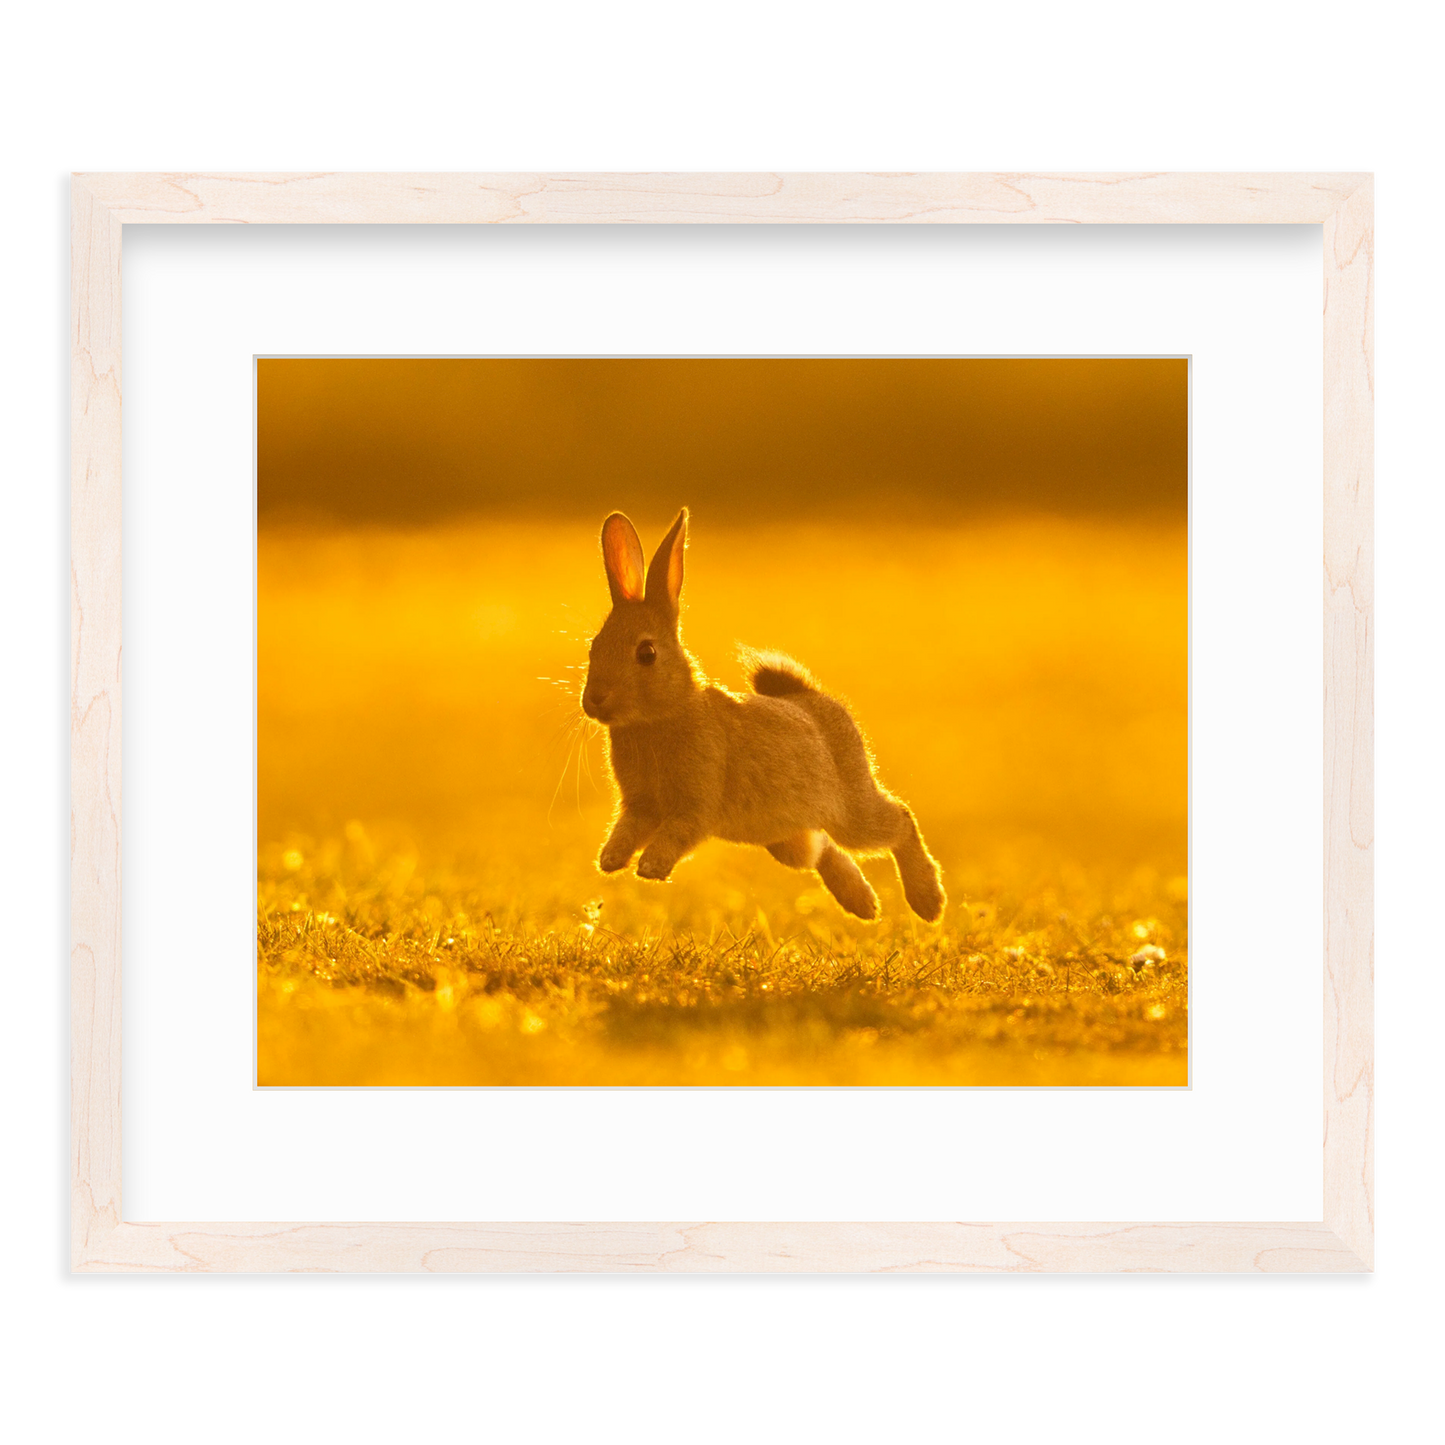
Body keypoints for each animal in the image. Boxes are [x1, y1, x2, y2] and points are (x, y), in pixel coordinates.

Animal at [580, 508, 946, 923]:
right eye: (594, 646)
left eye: (646, 653)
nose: (594, 700)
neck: (661, 716)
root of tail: (811, 697)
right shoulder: (639, 805)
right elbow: (627, 829)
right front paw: (610, 860)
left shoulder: (695, 804)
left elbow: (678, 832)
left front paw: (651, 867)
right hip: (787, 838)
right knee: (821, 848)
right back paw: (864, 905)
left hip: (851, 811)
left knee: (899, 820)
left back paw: (927, 902)